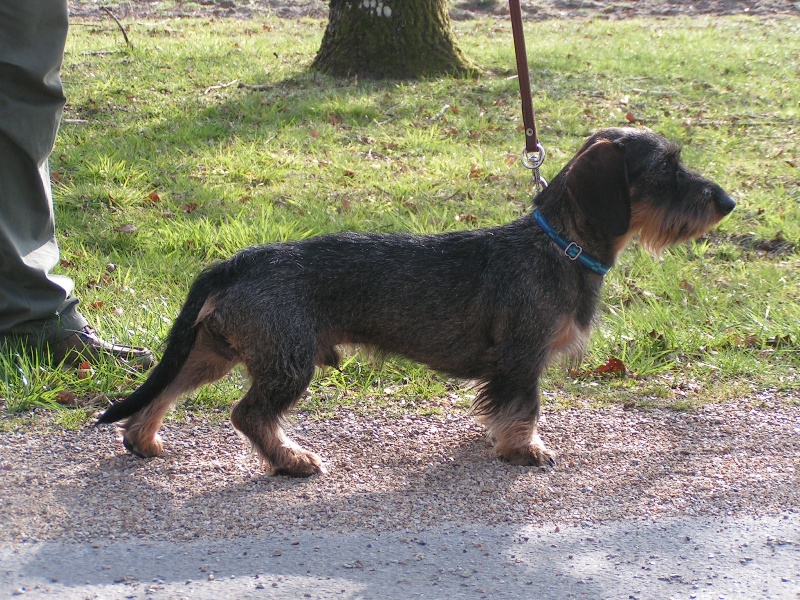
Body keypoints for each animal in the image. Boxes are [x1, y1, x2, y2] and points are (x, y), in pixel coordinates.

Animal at [97, 129, 736, 476]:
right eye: (665, 168)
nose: (727, 202)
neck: (558, 244)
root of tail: (241, 258)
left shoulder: (510, 365)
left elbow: (502, 406)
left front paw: (500, 438)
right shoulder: (523, 356)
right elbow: (525, 407)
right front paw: (524, 449)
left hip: (214, 350)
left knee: (164, 393)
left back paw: (144, 440)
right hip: (287, 362)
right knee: (248, 415)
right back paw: (291, 461)